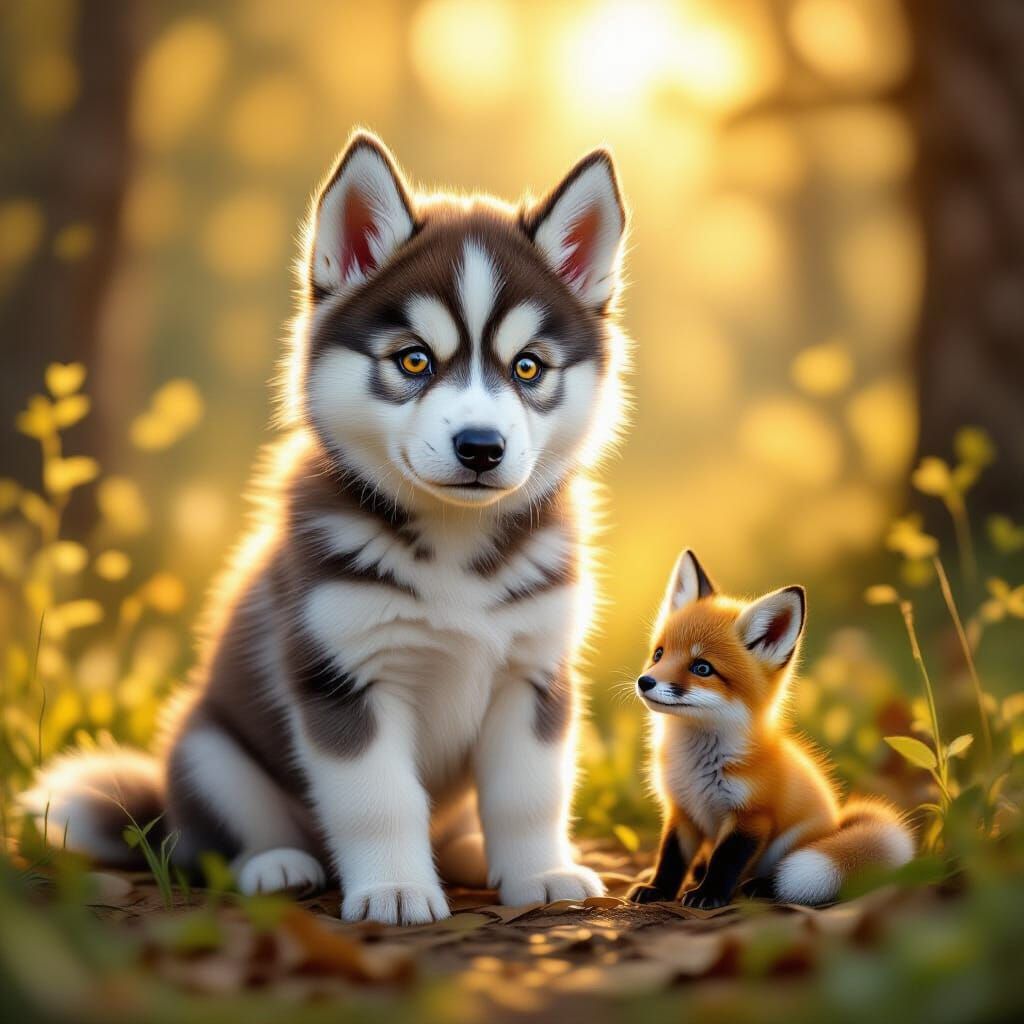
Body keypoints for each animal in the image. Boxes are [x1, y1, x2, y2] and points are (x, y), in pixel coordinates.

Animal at [22, 131, 630, 924]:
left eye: (528, 368)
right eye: (413, 359)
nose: (480, 447)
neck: (453, 545)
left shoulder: (533, 673)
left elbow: (529, 794)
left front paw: (540, 874)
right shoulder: (341, 675)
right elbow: (379, 800)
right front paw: (395, 889)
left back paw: (469, 855)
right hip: (208, 747)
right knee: (220, 840)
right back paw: (277, 865)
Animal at [628, 550, 914, 908]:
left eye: (702, 668)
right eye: (659, 654)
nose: (645, 681)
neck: (697, 765)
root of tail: (838, 823)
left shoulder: (752, 817)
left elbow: (725, 862)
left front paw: (708, 894)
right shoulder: (682, 810)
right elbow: (671, 858)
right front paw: (658, 889)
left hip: (789, 843)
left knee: (779, 872)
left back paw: (760, 886)